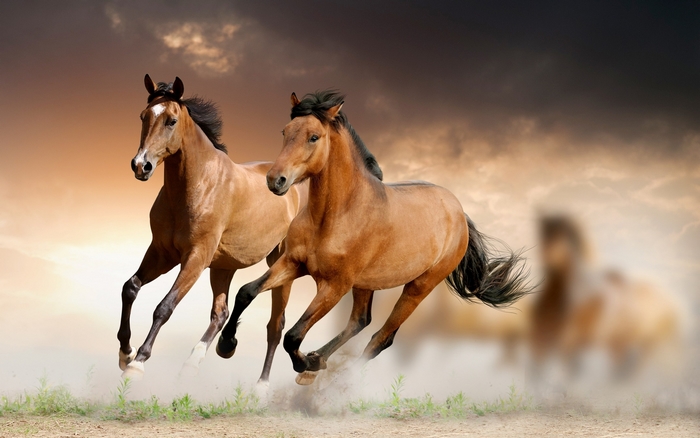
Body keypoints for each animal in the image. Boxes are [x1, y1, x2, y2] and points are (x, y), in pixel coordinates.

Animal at [118, 75, 302, 386]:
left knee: (275, 327)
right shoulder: (162, 253)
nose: (141, 165)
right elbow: (130, 288)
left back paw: (261, 386)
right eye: (144, 116)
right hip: (223, 267)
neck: (197, 185)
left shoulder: (195, 258)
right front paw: (125, 352)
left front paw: (138, 363)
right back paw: (197, 361)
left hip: (279, 265)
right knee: (221, 313)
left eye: (171, 120)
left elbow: (164, 307)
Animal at [216, 90, 532, 385]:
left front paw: (304, 363)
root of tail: (459, 212)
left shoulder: (334, 286)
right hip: (365, 284)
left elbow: (293, 335)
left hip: (418, 287)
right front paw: (226, 345)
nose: (275, 180)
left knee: (381, 338)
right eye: (285, 131)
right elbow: (246, 292)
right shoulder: (293, 263)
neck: (335, 215)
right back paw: (318, 360)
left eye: (314, 137)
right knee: (360, 321)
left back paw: (329, 378)